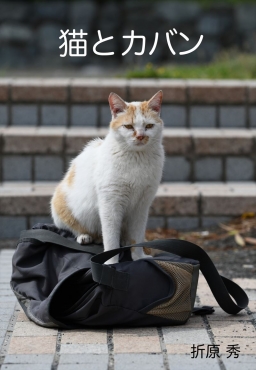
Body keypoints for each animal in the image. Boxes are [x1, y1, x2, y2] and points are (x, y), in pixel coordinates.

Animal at [51, 89, 165, 264]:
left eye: (149, 126)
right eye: (128, 126)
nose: (140, 136)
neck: (137, 158)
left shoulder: (141, 207)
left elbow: (137, 237)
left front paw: (138, 257)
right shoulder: (110, 205)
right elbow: (111, 239)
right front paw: (111, 263)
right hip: (59, 205)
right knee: (76, 227)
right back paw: (85, 236)